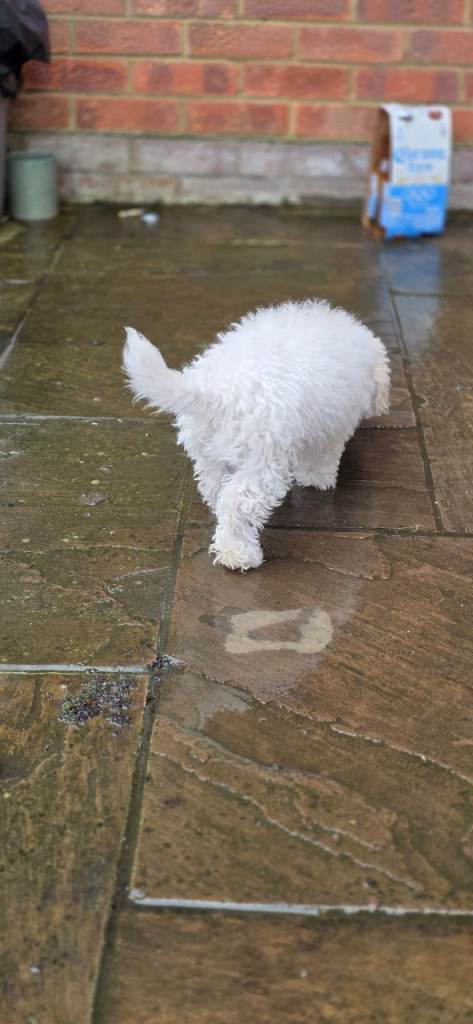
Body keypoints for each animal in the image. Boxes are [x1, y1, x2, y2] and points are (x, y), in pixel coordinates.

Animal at [123, 299, 390, 571]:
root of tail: (216, 391)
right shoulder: (329, 428)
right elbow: (321, 457)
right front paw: (318, 480)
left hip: (209, 454)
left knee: (217, 490)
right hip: (263, 460)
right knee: (236, 500)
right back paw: (238, 554)